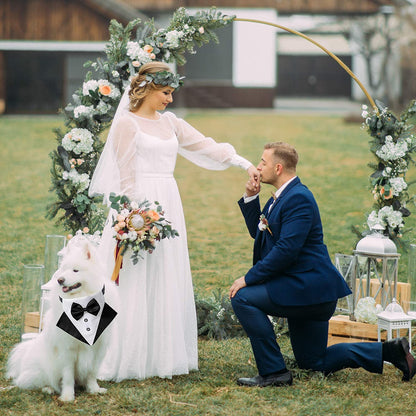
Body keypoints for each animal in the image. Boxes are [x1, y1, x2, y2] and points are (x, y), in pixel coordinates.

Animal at [6, 236, 117, 402]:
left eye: (75, 270)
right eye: (63, 269)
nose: (60, 280)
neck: (82, 303)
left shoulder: (98, 348)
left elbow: (92, 372)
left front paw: (94, 390)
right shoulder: (67, 350)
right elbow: (68, 376)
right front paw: (67, 396)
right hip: (45, 366)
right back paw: (49, 388)